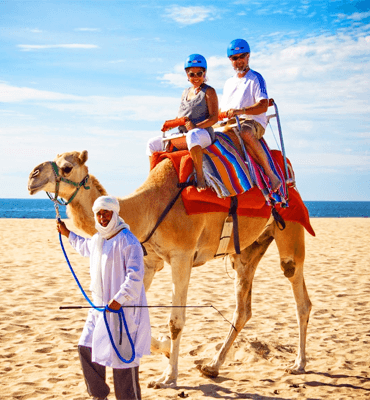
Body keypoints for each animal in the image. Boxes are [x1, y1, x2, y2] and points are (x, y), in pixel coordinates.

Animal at [29, 150, 312, 388]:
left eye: (66, 167)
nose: (33, 176)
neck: (148, 208)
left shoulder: (182, 256)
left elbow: (176, 321)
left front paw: (168, 377)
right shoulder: (149, 261)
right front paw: (164, 349)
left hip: (290, 226)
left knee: (299, 295)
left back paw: (298, 364)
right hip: (246, 252)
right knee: (243, 308)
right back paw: (212, 366)